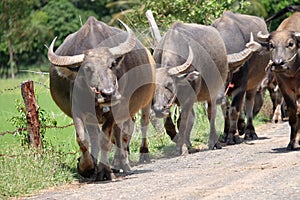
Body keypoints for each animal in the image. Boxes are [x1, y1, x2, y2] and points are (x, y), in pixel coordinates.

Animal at [47, 16, 155, 180]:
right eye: (87, 69)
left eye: (112, 65)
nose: (108, 93)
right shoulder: (78, 110)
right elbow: (83, 139)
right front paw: (87, 167)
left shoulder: (114, 111)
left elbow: (105, 141)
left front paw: (105, 170)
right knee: (99, 136)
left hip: (142, 104)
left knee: (129, 131)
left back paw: (125, 164)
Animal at [152, 21, 260, 154]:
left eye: (169, 84)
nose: (157, 109)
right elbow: (170, 122)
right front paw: (180, 142)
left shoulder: (190, 97)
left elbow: (183, 120)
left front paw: (181, 147)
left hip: (211, 95)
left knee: (211, 114)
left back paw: (214, 143)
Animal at [212, 10, 270, 145]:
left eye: (225, 73)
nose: (216, 97)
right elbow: (226, 108)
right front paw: (226, 133)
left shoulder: (240, 87)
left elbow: (234, 110)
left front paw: (233, 136)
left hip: (253, 84)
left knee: (249, 103)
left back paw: (249, 132)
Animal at [256, 10, 300, 148]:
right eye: (271, 45)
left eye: (290, 44)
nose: (278, 63)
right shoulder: (284, 88)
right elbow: (293, 112)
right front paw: (293, 141)